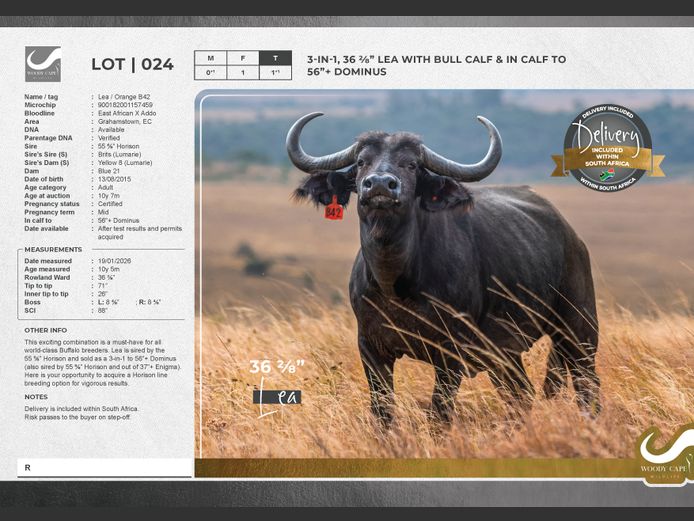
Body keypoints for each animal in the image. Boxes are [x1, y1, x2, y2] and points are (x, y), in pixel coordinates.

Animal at [287, 112, 601, 426]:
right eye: (362, 161)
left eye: (412, 164)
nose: (380, 186)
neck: (394, 282)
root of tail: (571, 236)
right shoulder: (370, 348)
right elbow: (382, 412)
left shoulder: (451, 354)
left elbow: (439, 413)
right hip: (504, 352)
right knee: (521, 395)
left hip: (578, 328)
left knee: (587, 385)